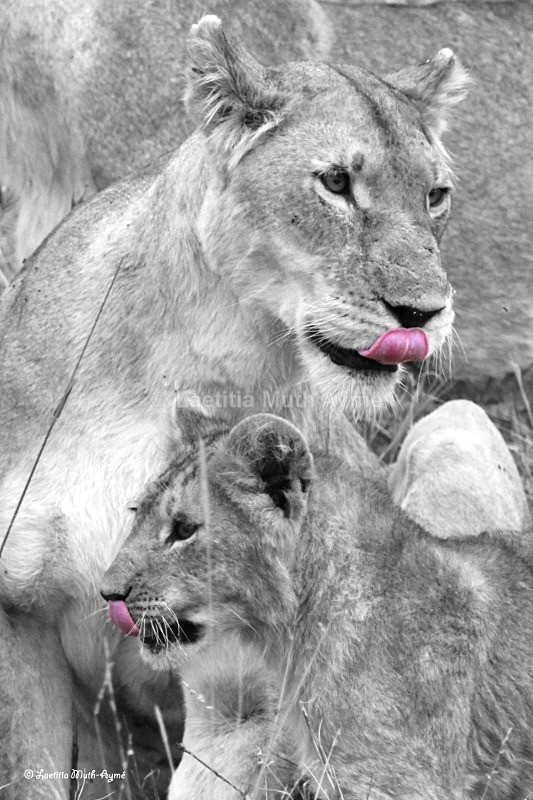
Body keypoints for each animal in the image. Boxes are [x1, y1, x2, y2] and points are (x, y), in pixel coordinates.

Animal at [0, 16, 468, 796]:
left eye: (435, 195)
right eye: (336, 183)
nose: (424, 312)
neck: (189, 361)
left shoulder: (250, 691)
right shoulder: (18, 606)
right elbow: (27, 771)